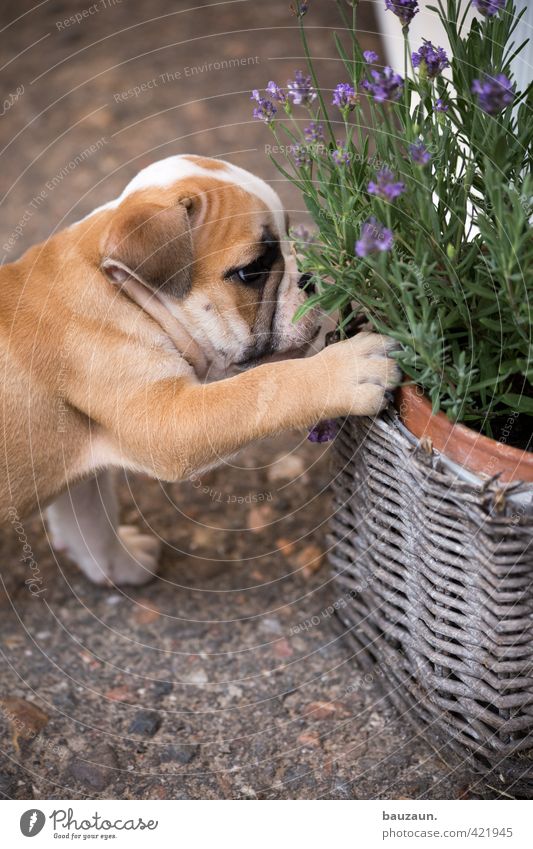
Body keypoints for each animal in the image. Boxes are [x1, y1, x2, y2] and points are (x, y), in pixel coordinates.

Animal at [0, 154, 400, 584]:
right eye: (252, 271)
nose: (309, 279)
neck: (121, 291)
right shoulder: (169, 420)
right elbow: (264, 386)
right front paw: (347, 368)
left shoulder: (79, 474)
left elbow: (91, 525)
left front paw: (122, 568)